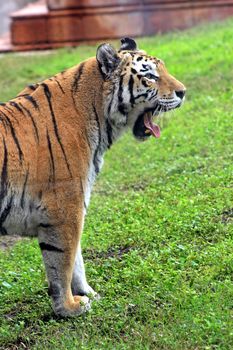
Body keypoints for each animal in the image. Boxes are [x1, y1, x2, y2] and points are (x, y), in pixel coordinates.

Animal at [0, 37, 186, 316]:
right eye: (150, 76)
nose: (183, 92)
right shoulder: (65, 209)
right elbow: (62, 262)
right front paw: (68, 307)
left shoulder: (73, 208)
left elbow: (76, 259)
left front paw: (89, 294)